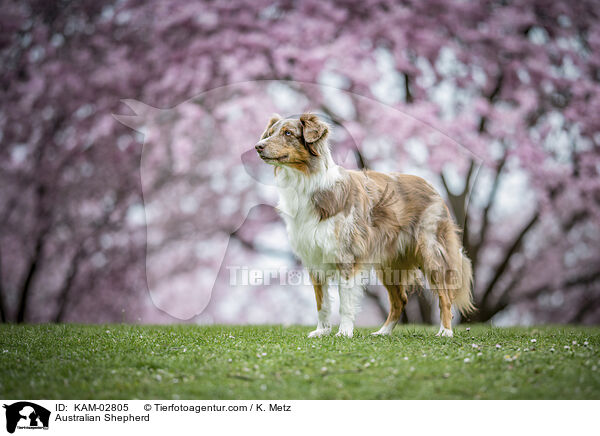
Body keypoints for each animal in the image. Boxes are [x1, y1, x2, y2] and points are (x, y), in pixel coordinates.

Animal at [254, 112, 474, 338]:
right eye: (269, 133)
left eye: (288, 133)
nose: (258, 146)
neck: (306, 181)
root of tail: (431, 186)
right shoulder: (314, 258)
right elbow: (321, 303)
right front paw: (322, 332)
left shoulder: (346, 257)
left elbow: (345, 303)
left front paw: (343, 333)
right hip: (388, 264)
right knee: (400, 300)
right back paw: (382, 333)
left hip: (431, 252)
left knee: (445, 297)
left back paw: (445, 331)